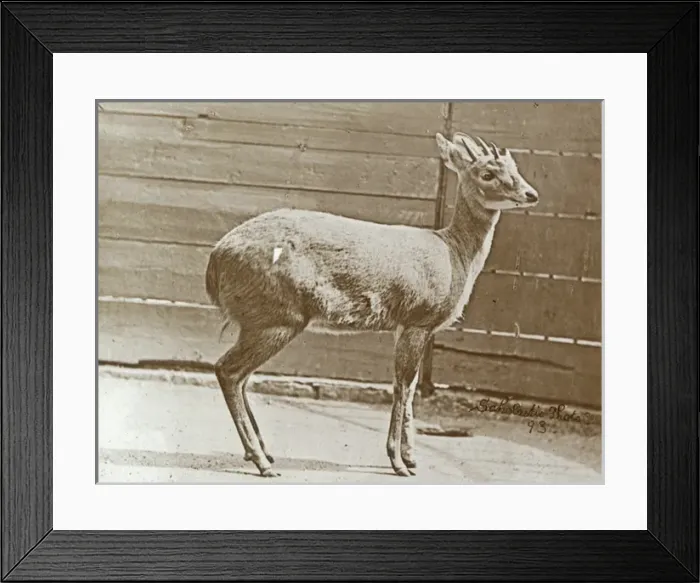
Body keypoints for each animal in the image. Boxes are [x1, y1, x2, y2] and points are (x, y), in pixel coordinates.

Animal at [205, 132, 539, 478]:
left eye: (514, 166)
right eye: (486, 173)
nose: (531, 194)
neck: (455, 254)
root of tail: (215, 261)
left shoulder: (404, 325)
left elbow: (409, 385)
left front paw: (411, 458)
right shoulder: (419, 319)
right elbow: (402, 386)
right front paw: (399, 462)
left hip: (262, 320)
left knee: (241, 376)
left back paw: (262, 453)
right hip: (276, 317)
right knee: (228, 370)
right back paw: (262, 461)